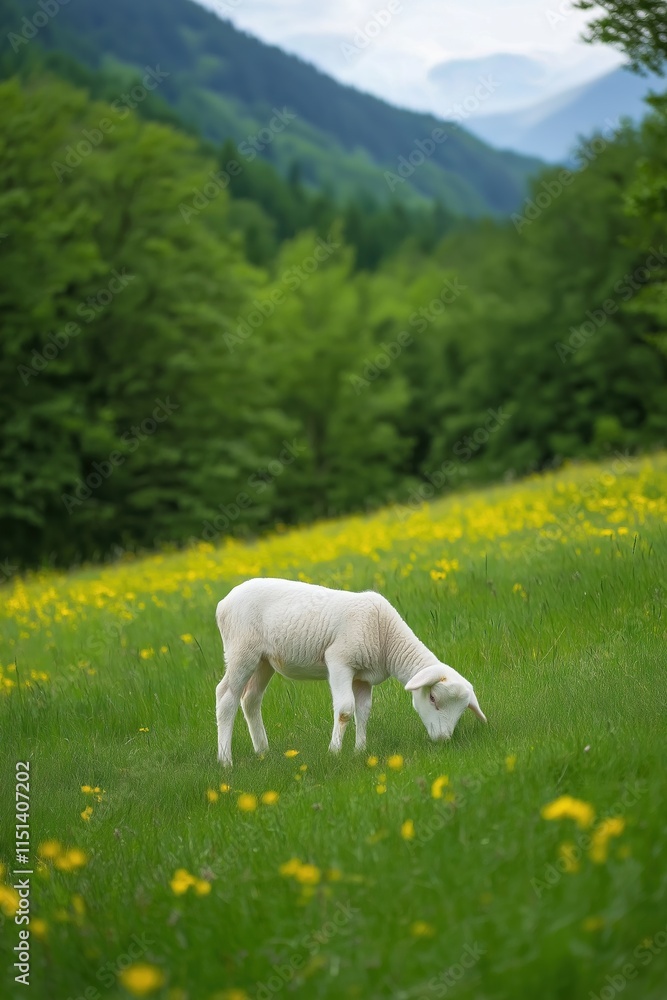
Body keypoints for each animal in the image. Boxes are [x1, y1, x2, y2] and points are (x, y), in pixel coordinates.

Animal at [215, 577, 486, 765]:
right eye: (432, 698)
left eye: (461, 711)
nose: (442, 740)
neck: (386, 636)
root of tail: (222, 603)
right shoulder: (339, 661)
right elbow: (346, 709)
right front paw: (334, 753)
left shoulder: (363, 677)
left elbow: (364, 711)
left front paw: (360, 751)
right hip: (242, 650)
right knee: (226, 697)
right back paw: (226, 760)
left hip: (264, 661)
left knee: (250, 699)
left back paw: (263, 751)